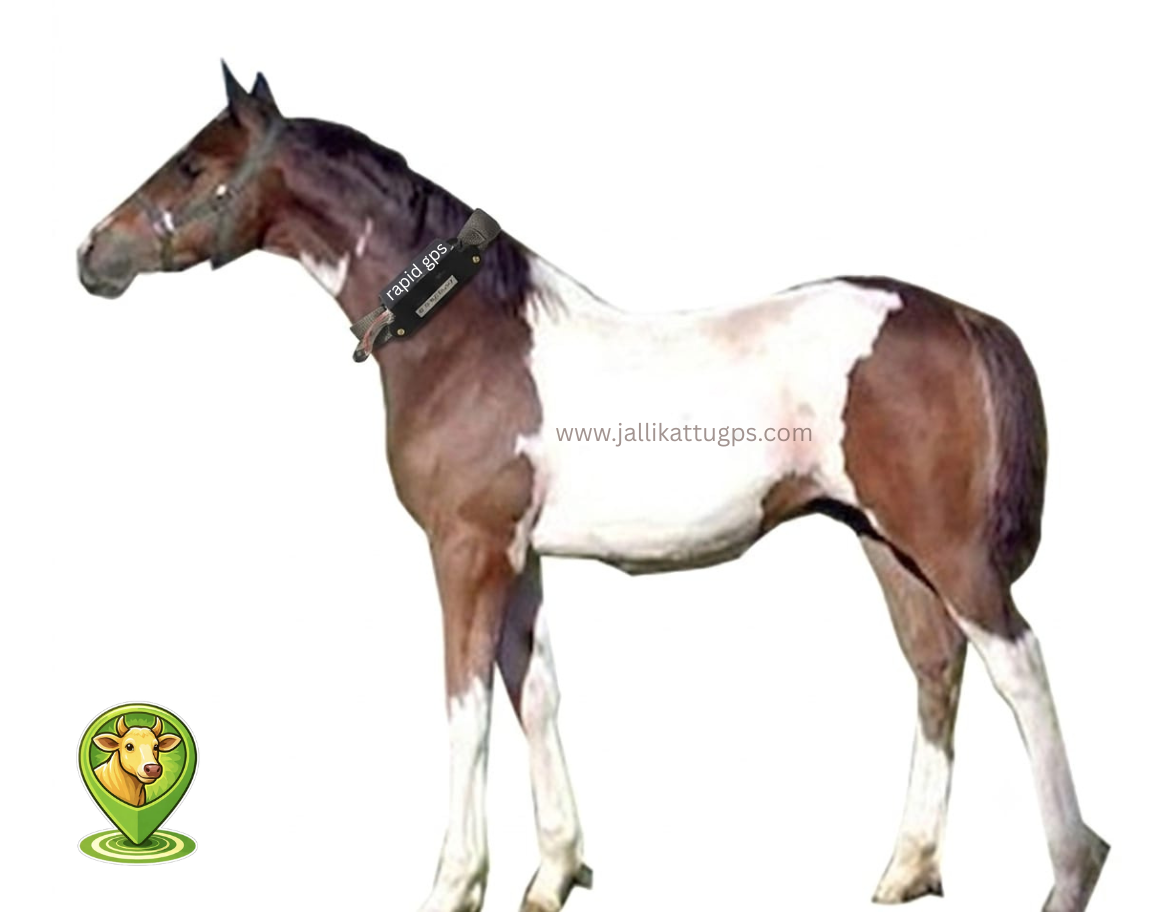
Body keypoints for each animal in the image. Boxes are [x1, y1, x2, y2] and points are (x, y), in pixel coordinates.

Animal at [76, 65, 1108, 912]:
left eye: (190, 165)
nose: (93, 254)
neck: (469, 339)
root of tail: (963, 318)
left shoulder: (465, 552)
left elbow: (466, 709)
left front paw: (456, 883)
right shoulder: (520, 557)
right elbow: (535, 694)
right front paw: (555, 873)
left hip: (946, 548)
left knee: (1018, 666)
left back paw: (1070, 870)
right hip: (886, 543)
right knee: (935, 668)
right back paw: (905, 869)